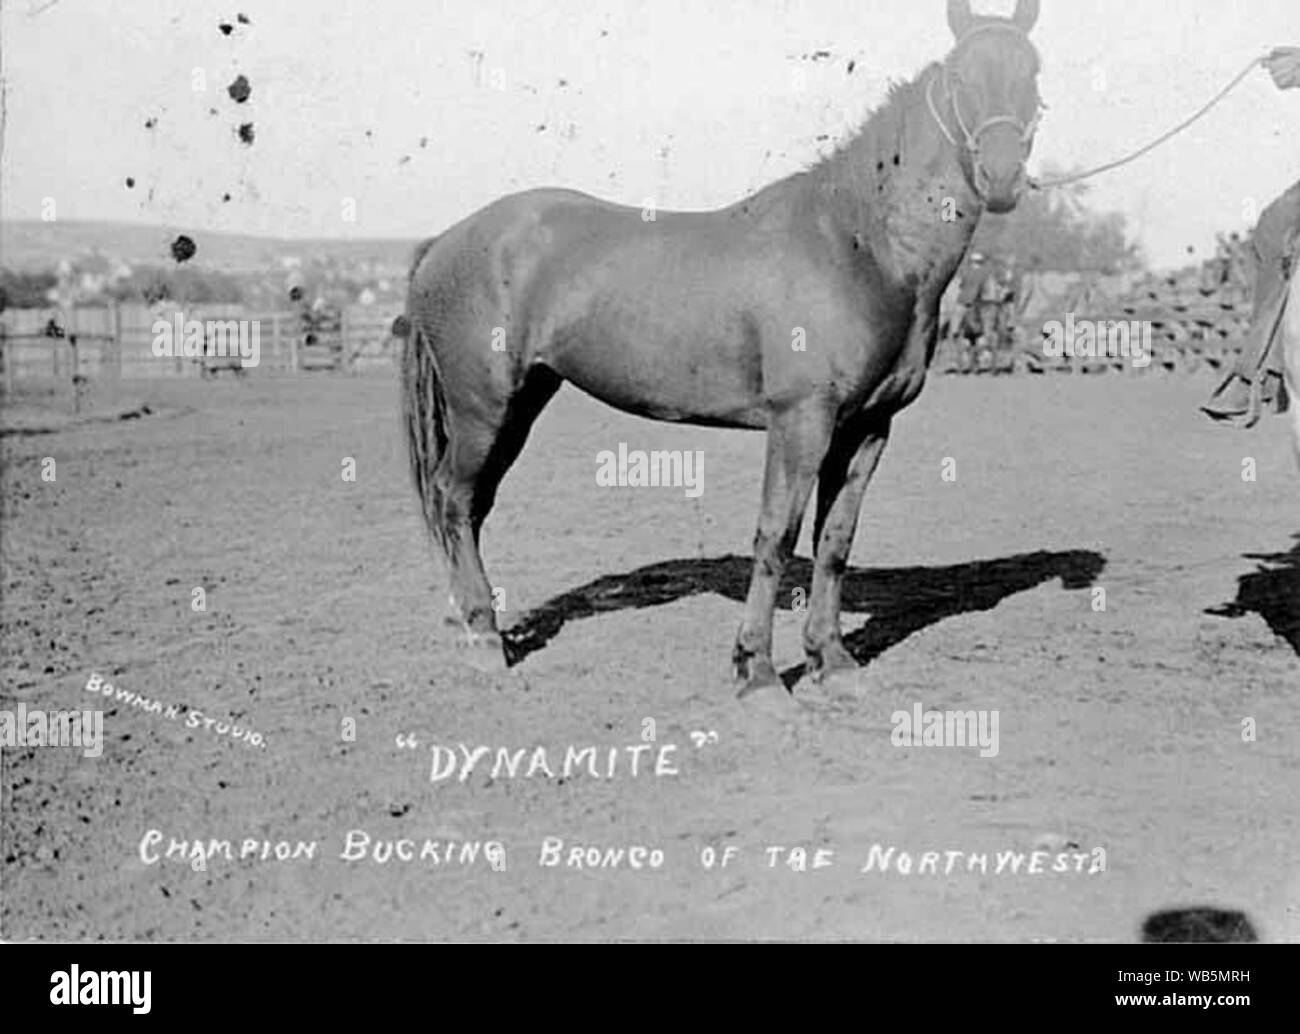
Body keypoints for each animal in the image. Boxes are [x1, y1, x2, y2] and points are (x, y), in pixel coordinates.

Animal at [403, 2, 1045, 702]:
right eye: (961, 79)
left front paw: (832, 661)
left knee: (471, 504)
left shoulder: (869, 429)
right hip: (482, 408)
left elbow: (834, 542)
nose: (1002, 179)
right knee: (454, 499)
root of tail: (446, 240)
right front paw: (757, 671)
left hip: (521, 403)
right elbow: (776, 537)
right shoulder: (800, 422)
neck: (859, 245)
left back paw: (468, 622)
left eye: (1034, 76)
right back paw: (483, 640)